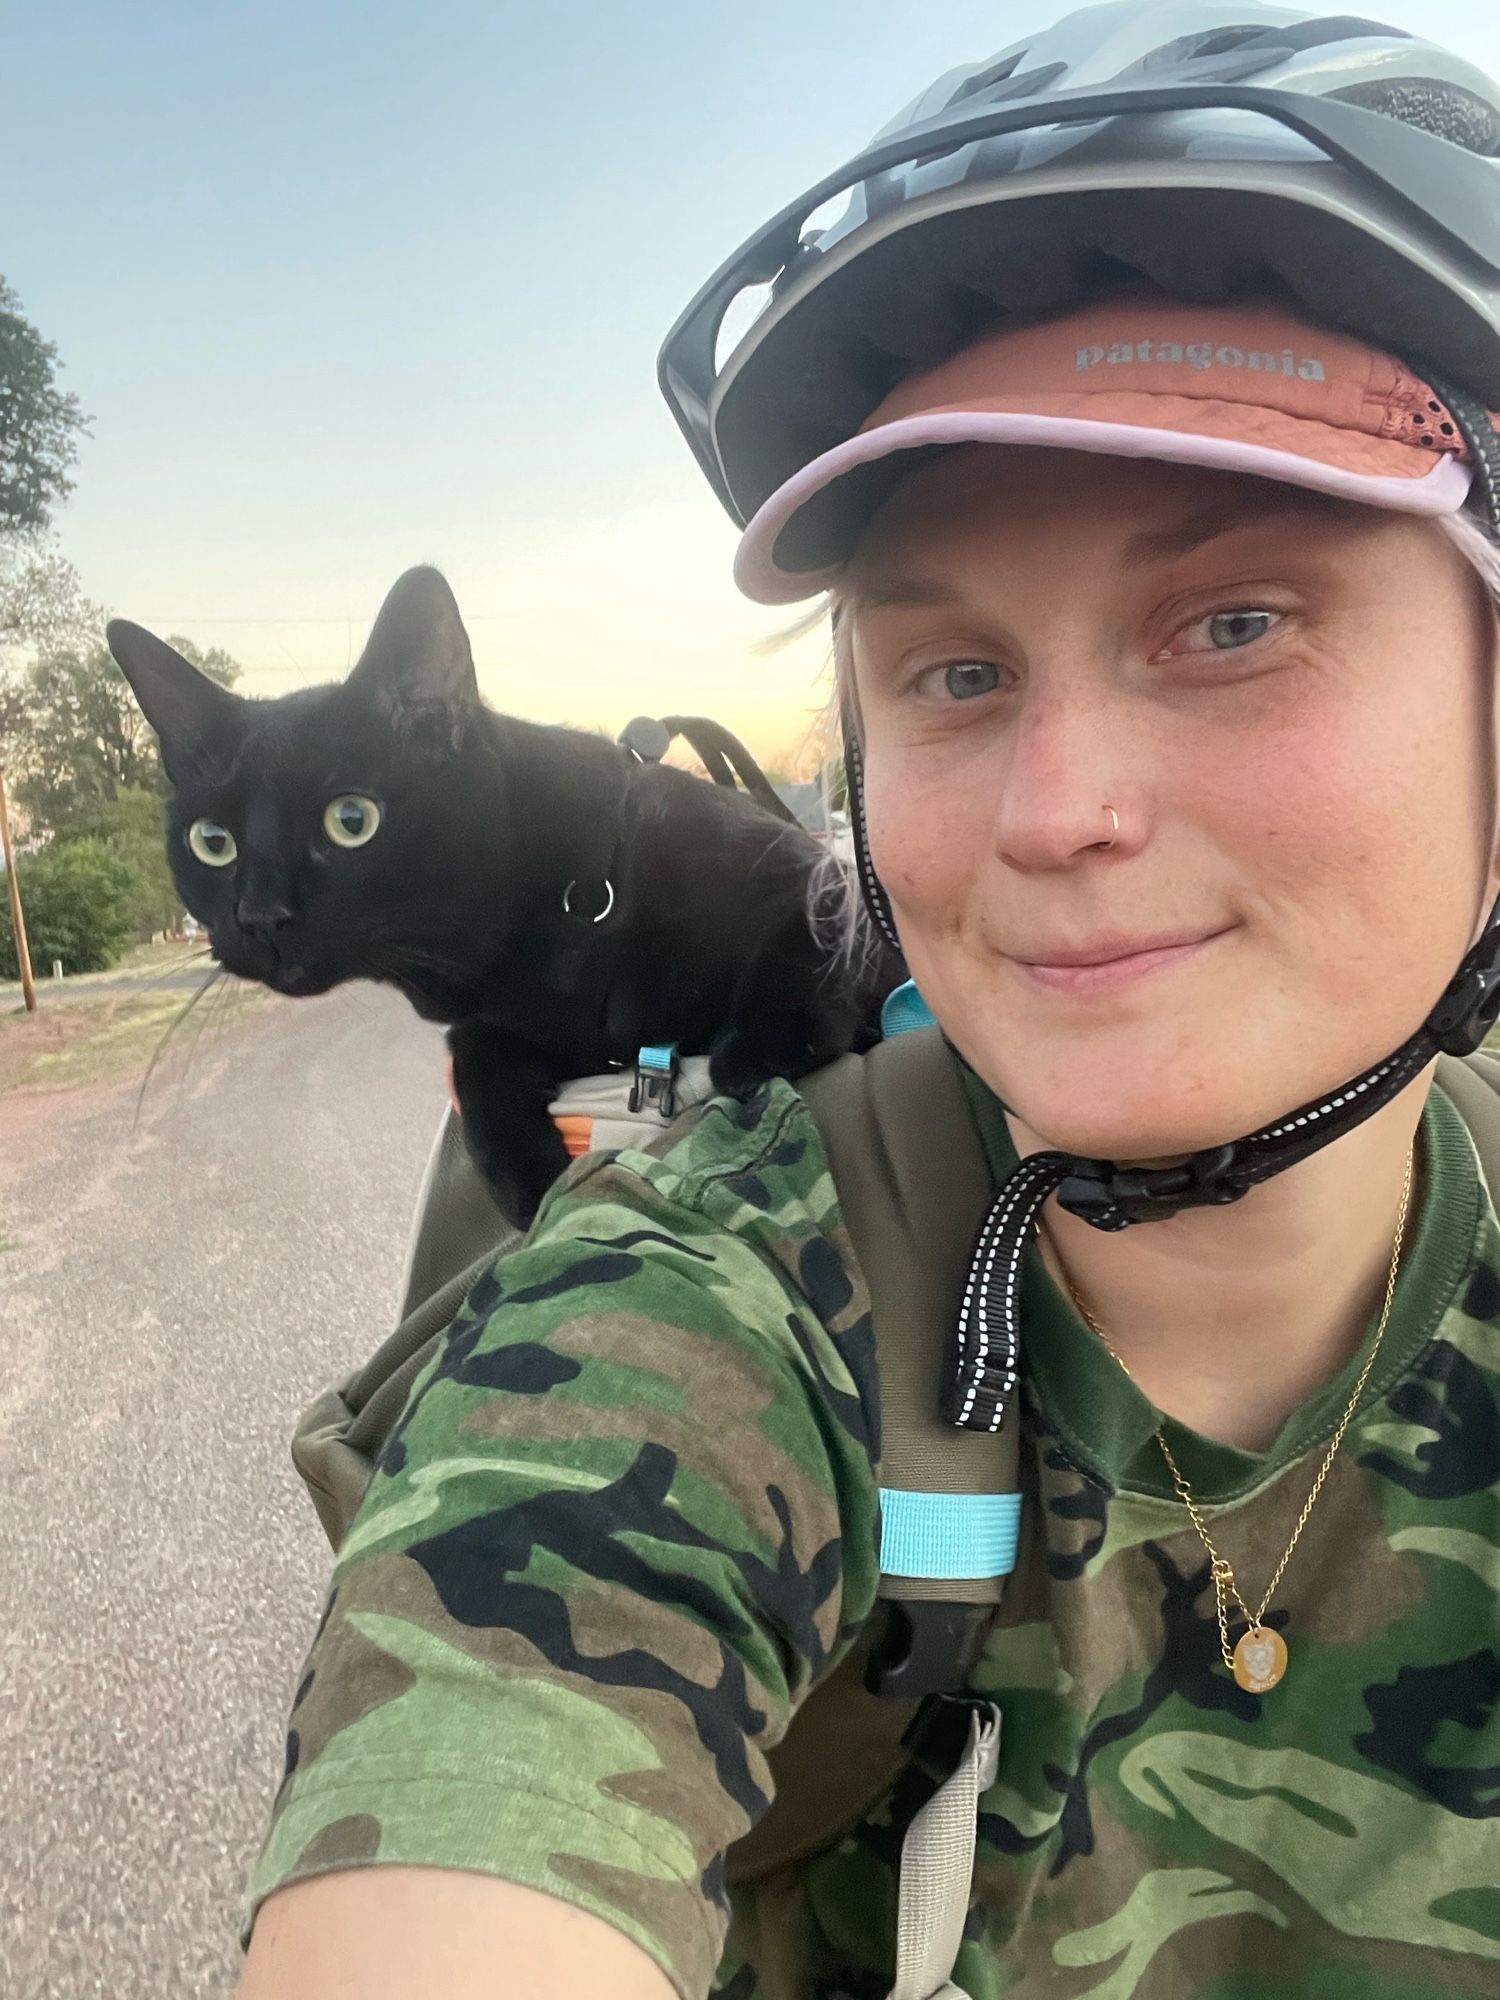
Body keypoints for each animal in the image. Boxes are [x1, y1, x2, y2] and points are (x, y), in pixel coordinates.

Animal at [108, 564, 904, 1216]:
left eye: (351, 820)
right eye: (212, 841)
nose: (260, 916)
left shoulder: (827, 881)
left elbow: (809, 941)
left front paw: (757, 1049)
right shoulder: (531, 1030)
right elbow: (473, 1053)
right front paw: (530, 1175)